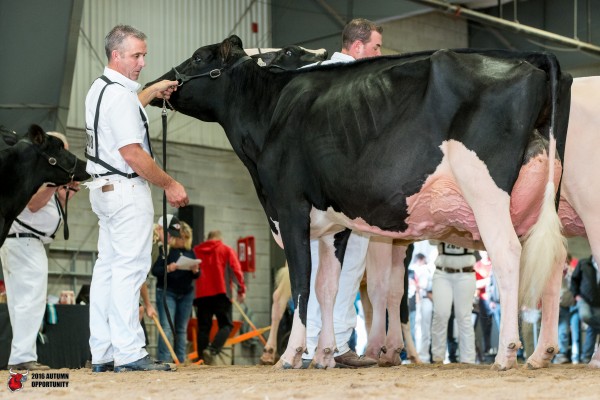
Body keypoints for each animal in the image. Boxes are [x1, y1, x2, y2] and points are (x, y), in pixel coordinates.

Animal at [147, 35, 572, 371]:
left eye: (199, 57)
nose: (156, 82)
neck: (271, 113)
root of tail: (533, 58)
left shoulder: (289, 207)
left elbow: (303, 283)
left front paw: (292, 355)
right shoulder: (333, 226)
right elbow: (328, 288)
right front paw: (324, 354)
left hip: (485, 189)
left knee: (508, 254)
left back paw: (507, 353)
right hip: (542, 197)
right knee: (551, 263)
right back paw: (541, 355)